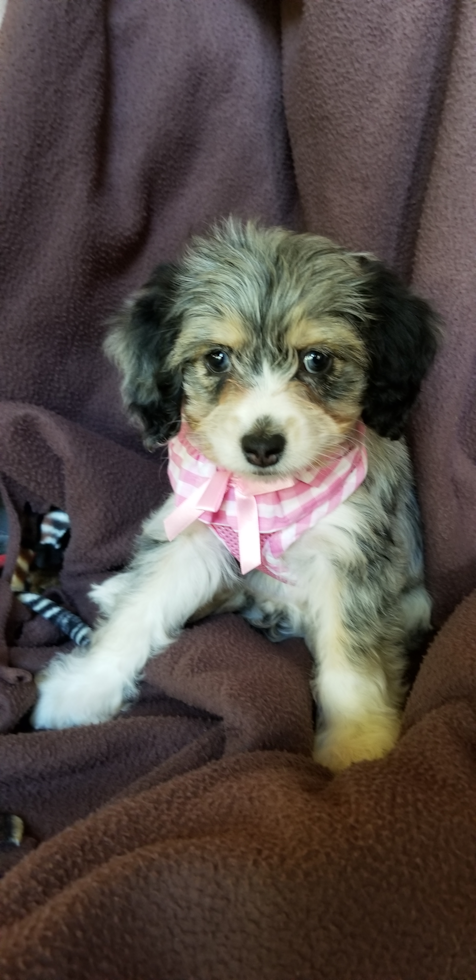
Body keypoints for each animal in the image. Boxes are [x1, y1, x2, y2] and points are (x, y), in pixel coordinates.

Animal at [31, 222, 436, 772]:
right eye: (216, 358)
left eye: (317, 359)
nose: (262, 446)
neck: (263, 498)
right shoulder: (195, 534)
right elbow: (141, 611)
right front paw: (85, 687)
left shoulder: (350, 555)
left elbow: (350, 664)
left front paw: (355, 746)